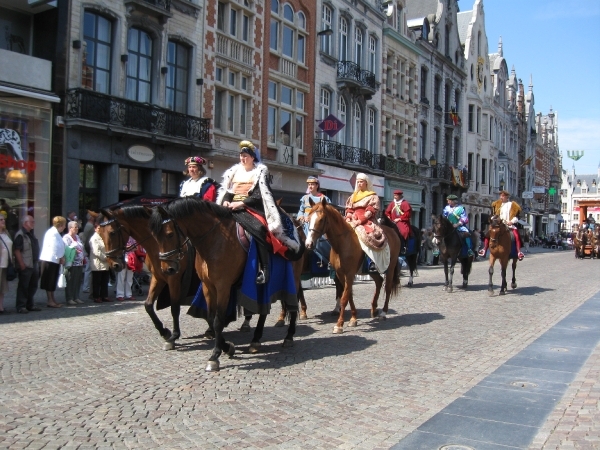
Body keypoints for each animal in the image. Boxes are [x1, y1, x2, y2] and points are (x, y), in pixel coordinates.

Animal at [91, 207, 199, 352]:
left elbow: (175, 308)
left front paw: (173, 337)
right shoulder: (158, 278)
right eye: (100, 234)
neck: (157, 246)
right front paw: (164, 332)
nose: (114, 265)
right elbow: (148, 305)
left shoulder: (174, 279)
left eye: (112, 232)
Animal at [148, 199, 302, 370]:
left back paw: (288, 337)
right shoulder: (208, 286)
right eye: (154, 237)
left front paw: (215, 355)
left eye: (169, 234)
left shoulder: (223, 287)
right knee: (263, 309)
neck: (214, 239)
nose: (168, 269)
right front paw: (227, 347)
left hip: (294, 278)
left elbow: (218, 321)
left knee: (293, 305)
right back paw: (255, 341)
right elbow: (211, 317)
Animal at [304, 199, 398, 332]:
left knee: (388, 287)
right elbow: (349, 295)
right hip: (371, 271)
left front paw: (339, 324)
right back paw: (374, 309)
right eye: (308, 218)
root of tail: (393, 232)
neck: (342, 243)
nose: (309, 244)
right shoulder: (340, 274)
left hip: (390, 267)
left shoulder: (349, 274)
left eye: (321, 219)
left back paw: (383, 313)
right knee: (379, 281)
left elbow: (344, 297)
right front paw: (353, 319)